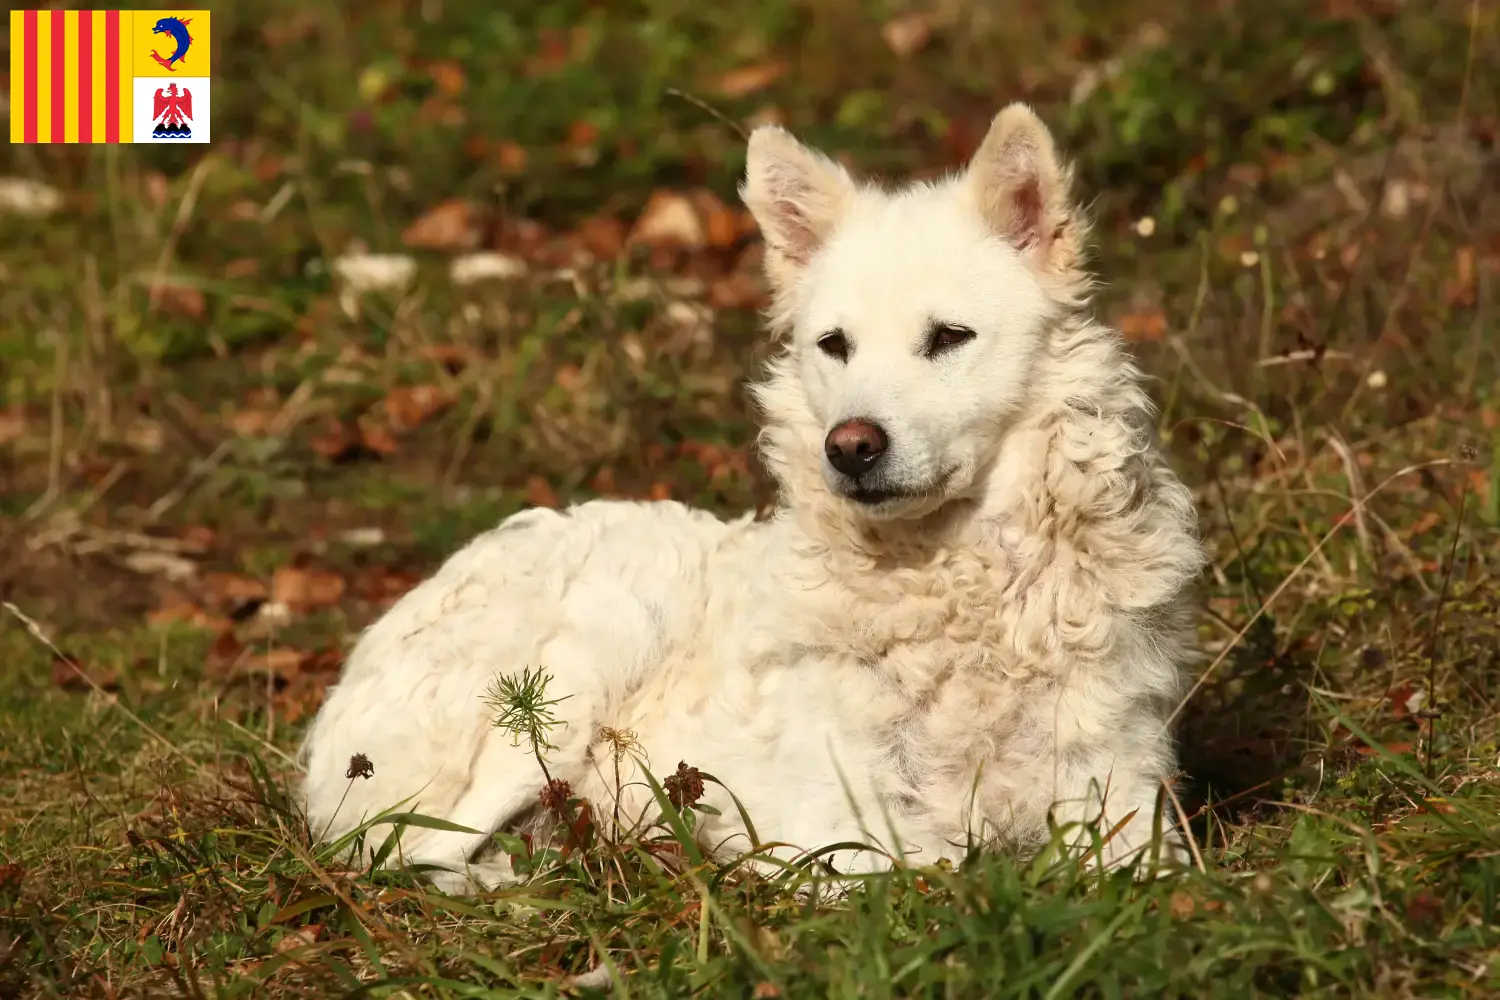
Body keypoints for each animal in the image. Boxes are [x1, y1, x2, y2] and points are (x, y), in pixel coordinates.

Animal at [301, 103, 1206, 893]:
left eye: (949, 337)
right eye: (834, 345)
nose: (850, 446)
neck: (963, 586)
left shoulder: (1124, 799)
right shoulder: (837, 829)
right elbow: (927, 872)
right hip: (587, 658)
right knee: (407, 853)